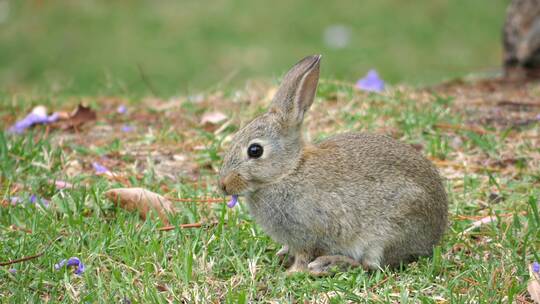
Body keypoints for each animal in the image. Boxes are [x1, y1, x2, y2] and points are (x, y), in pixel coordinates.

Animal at [217, 54, 450, 276]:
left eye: (255, 150)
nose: (223, 185)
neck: (289, 170)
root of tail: (435, 234)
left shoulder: (310, 232)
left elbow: (304, 254)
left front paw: (292, 273)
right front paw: (283, 255)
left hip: (388, 232)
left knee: (370, 266)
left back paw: (328, 265)